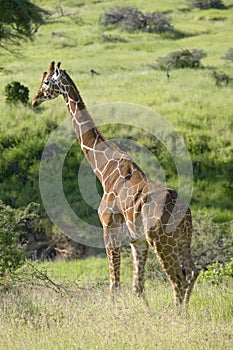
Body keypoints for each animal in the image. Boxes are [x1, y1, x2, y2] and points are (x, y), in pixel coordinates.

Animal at [31, 60, 198, 306]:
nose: (35, 99)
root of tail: (184, 212)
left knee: (178, 280)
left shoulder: (109, 230)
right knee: (192, 272)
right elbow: (137, 288)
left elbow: (114, 286)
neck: (104, 169)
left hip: (161, 241)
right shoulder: (137, 241)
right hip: (182, 240)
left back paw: (176, 314)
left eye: (46, 81)